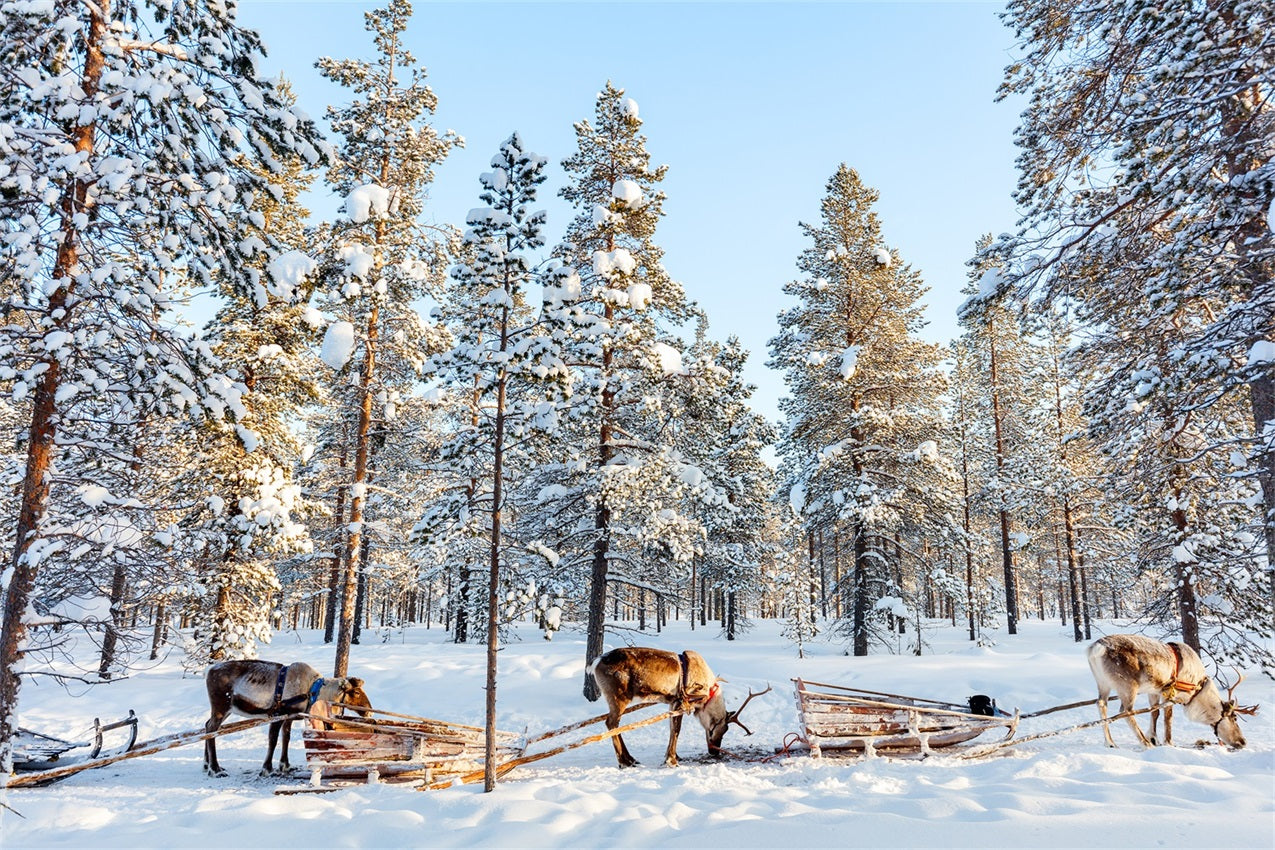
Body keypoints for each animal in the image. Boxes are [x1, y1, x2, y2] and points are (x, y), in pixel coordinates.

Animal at [203, 660, 372, 776]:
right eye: (356, 692)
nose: (369, 711)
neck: (313, 691)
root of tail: (209, 671)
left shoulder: (289, 717)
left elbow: (286, 738)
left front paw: (285, 765)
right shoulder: (278, 714)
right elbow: (273, 740)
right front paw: (267, 768)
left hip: (225, 711)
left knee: (207, 725)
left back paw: (206, 764)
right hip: (221, 708)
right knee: (212, 730)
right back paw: (215, 769)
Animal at [589, 647, 769, 768]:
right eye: (723, 728)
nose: (715, 752)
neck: (708, 695)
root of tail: (595, 663)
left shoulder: (672, 702)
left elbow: (671, 729)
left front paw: (673, 756)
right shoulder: (683, 702)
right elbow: (677, 730)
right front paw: (672, 760)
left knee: (614, 725)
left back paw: (630, 759)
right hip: (619, 698)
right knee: (611, 723)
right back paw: (624, 761)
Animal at [1086, 634, 1255, 749]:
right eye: (1234, 718)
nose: (1243, 741)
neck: (1197, 689)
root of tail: (1096, 649)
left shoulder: (1154, 691)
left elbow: (1154, 712)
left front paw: (1154, 737)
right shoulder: (1172, 694)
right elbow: (1168, 717)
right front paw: (1167, 742)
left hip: (1103, 683)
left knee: (1101, 704)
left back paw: (1110, 742)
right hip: (1128, 687)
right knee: (1126, 712)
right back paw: (1145, 743)